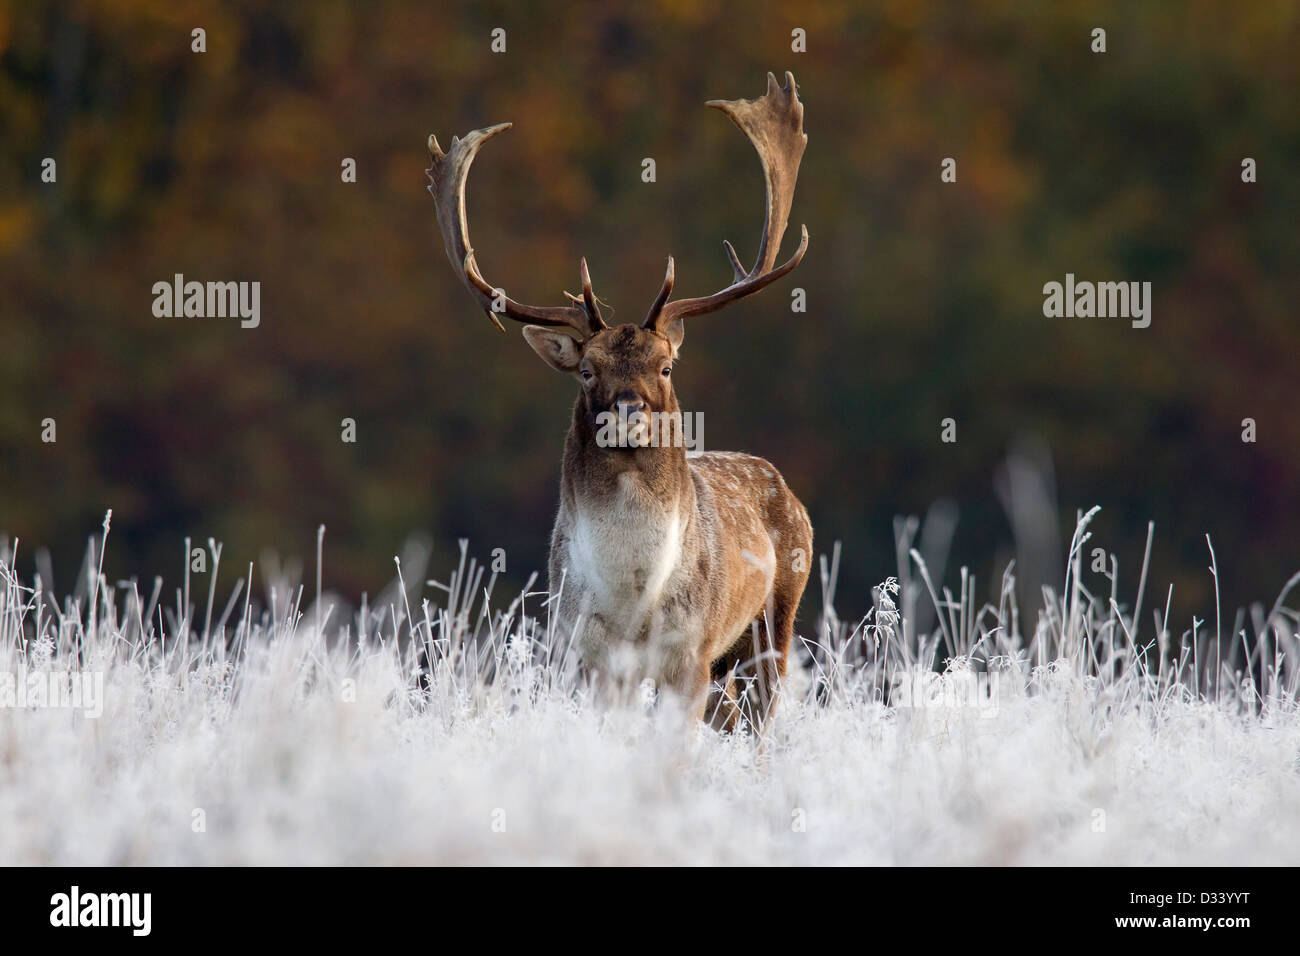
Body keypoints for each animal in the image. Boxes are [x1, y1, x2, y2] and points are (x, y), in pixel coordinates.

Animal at [426, 72, 811, 733]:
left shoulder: (691, 651)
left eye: (666, 366)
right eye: (586, 370)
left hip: (773, 619)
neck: (634, 602)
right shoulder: (586, 653)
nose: (629, 411)